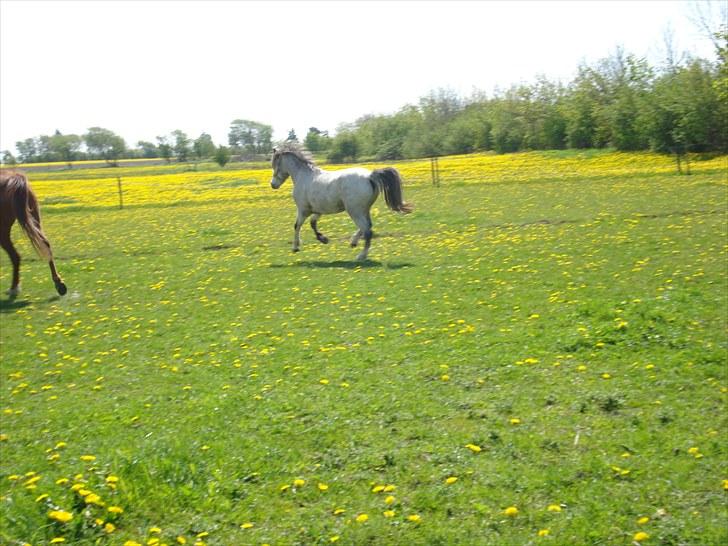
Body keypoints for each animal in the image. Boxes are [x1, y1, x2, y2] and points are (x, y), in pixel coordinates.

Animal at [270, 142, 412, 261]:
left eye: (275, 164)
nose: (273, 184)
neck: (303, 176)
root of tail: (370, 176)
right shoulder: (317, 210)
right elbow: (313, 223)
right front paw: (323, 239)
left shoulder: (303, 209)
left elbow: (296, 225)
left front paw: (295, 247)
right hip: (363, 210)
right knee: (367, 226)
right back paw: (353, 242)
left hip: (354, 211)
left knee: (367, 230)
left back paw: (361, 256)